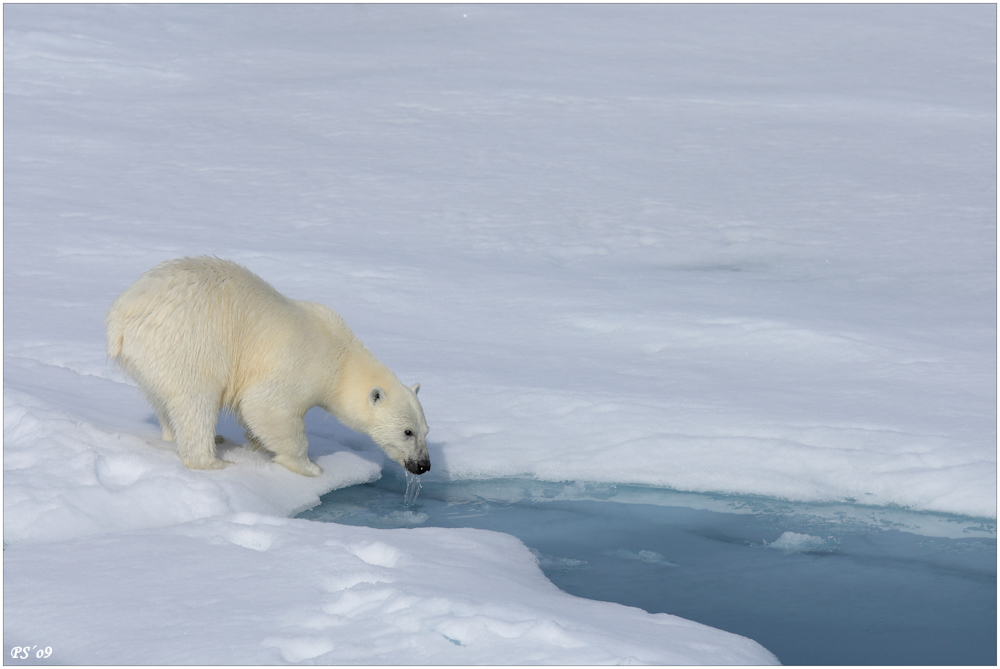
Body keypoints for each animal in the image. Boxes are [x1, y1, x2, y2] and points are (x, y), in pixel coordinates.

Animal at [105, 253, 430, 478]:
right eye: (407, 432)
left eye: (426, 430)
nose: (424, 465)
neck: (341, 356)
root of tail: (120, 317)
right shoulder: (298, 364)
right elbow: (265, 407)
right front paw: (310, 467)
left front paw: (257, 442)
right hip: (188, 343)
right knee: (196, 399)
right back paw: (212, 460)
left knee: (163, 400)